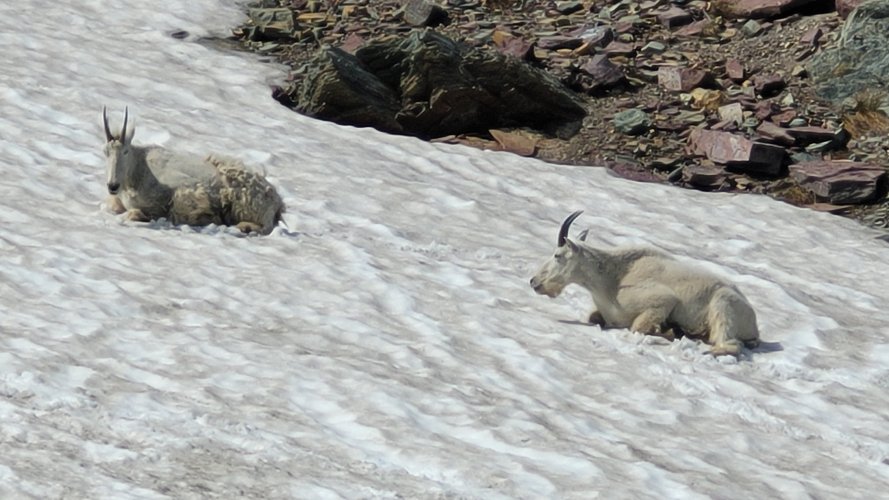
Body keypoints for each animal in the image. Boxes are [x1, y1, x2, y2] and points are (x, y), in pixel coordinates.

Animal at [103, 107, 284, 234]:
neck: (138, 171)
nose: (112, 186)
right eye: (105, 152)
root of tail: (277, 201)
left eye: (126, 151)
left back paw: (242, 226)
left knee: (266, 227)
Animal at [532, 211, 760, 356]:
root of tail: (754, 324)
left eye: (558, 255)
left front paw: (667, 331)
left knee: (731, 344)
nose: (534, 281)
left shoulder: (663, 301)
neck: (612, 280)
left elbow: (637, 327)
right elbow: (593, 318)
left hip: (723, 305)